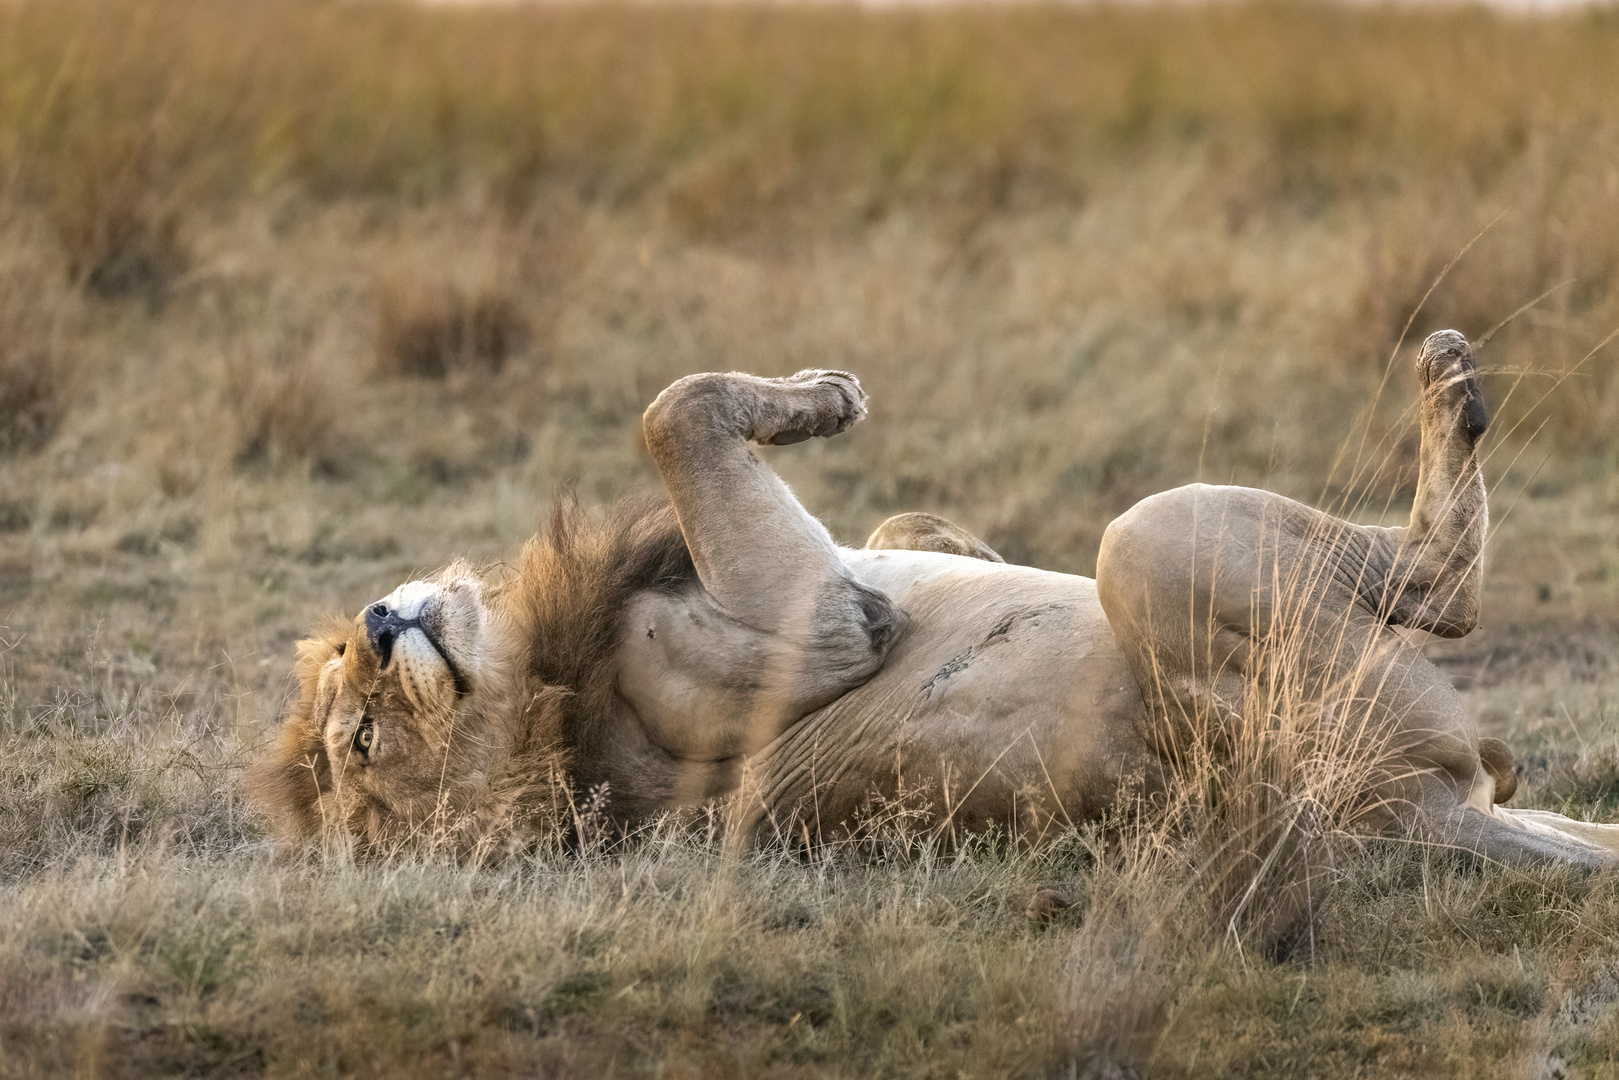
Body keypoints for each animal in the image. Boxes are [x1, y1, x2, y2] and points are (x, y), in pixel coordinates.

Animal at [246, 331, 1619, 867]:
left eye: (344, 702)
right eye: (362, 741)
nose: (377, 629)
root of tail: (1414, 819)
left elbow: (895, 517)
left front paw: (824, 407)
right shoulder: (811, 634)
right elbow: (670, 411)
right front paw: (821, 401)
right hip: (1155, 547)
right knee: (1440, 586)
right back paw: (1449, 390)